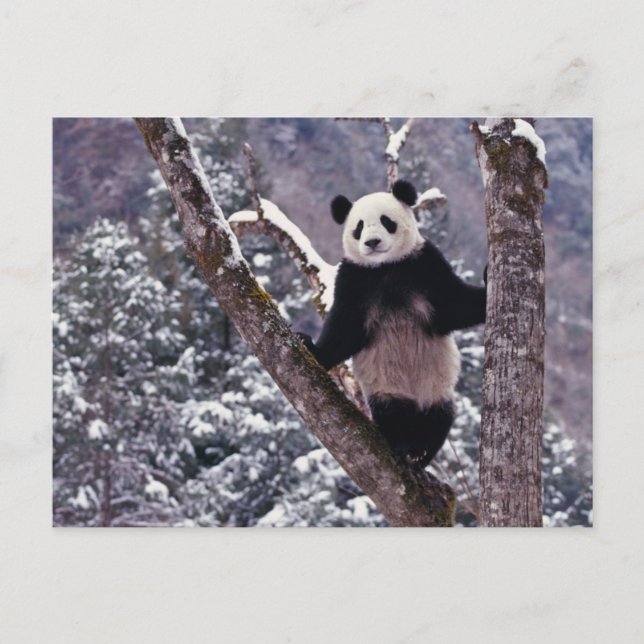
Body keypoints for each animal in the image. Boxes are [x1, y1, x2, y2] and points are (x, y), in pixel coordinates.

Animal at [299, 179, 486, 467]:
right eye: (359, 227)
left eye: (386, 221)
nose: (372, 242)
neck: (385, 267)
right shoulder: (354, 279)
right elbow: (344, 330)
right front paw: (311, 346)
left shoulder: (425, 264)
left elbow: (456, 305)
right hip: (386, 384)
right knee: (393, 413)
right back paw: (404, 444)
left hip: (435, 386)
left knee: (439, 416)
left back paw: (420, 450)